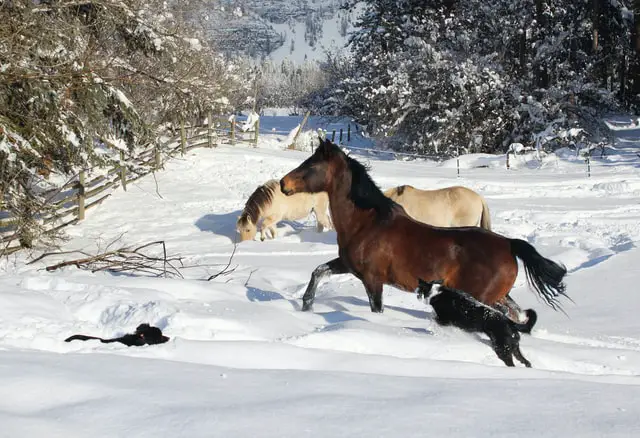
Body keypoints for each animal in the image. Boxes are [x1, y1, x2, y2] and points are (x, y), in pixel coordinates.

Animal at [278, 139, 568, 320]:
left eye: (311, 165)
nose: (283, 184)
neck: (366, 224)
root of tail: (509, 244)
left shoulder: (372, 280)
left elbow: (376, 309)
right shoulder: (348, 265)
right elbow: (318, 272)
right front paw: (306, 305)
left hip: (482, 297)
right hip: (498, 296)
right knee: (517, 314)